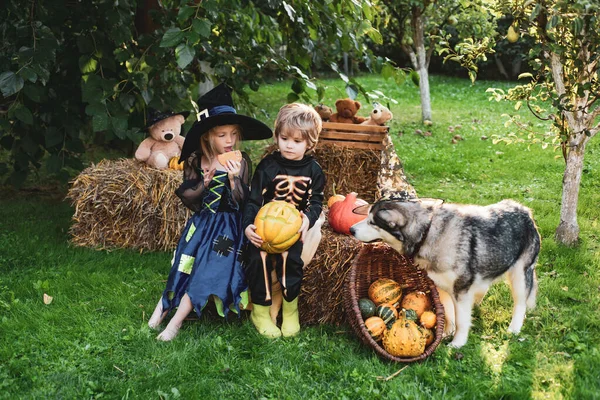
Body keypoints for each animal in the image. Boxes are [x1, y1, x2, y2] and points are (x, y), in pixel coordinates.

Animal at [350, 198, 540, 348]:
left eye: (372, 222)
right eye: (366, 218)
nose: (351, 230)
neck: (427, 233)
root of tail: (525, 210)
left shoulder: (461, 290)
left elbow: (461, 320)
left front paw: (458, 342)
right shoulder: (441, 287)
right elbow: (449, 314)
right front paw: (446, 333)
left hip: (520, 275)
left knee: (520, 303)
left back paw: (514, 328)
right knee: (483, 287)